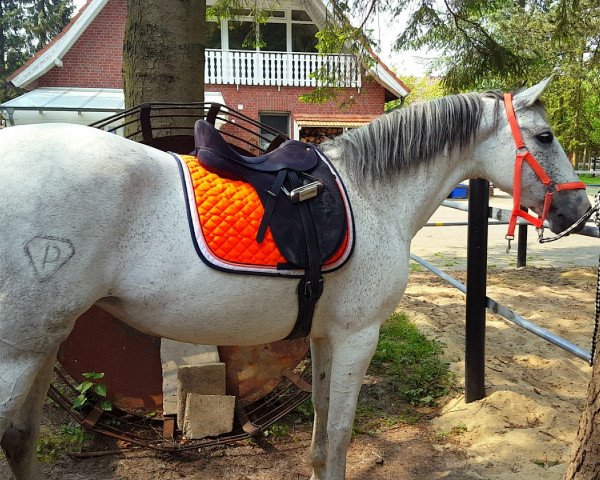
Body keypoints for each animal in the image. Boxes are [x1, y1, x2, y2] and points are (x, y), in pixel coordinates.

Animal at [0, 77, 592, 478]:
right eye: (544, 136)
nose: (578, 211)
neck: (373, 193)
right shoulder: (358, 337)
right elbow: (339, 434)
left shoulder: (325, 338)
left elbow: (320, 429)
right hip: (19, 354)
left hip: (45, 344)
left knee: (21, 437)